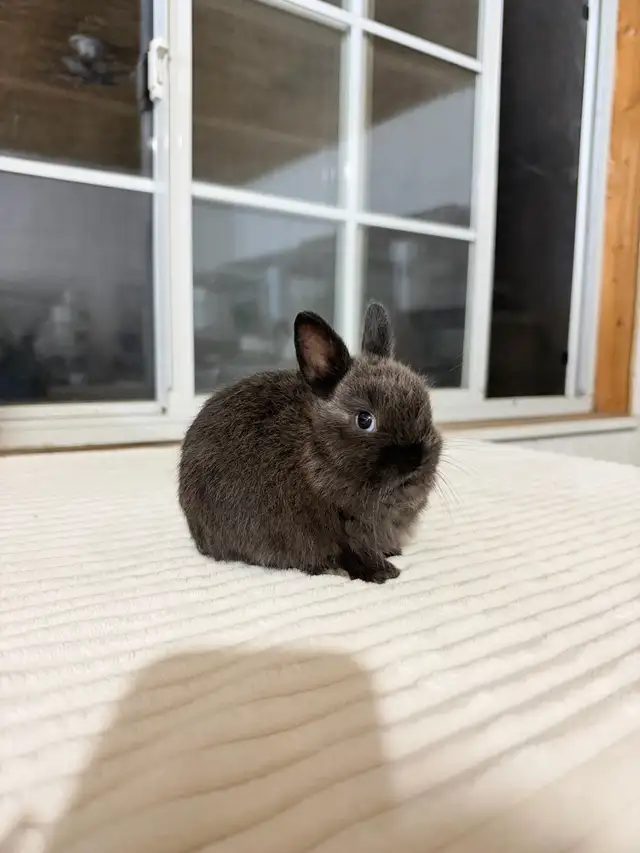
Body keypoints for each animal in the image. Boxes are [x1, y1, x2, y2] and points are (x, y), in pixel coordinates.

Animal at [178, 302, 442, 583]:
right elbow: (350, 554)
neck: (318, 453)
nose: (415, 460)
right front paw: (382, 573)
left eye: (425, 405)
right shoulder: (339, 532)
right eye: (364, 419)